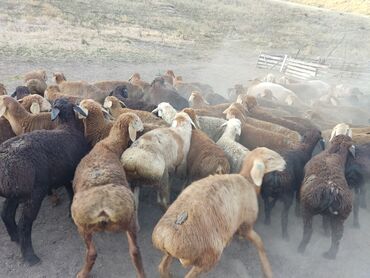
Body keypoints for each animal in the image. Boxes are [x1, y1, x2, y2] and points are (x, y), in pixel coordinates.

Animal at [0, 97, 89, 264]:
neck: (67, 127)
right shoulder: (71, 171)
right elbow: (71, 190)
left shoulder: (63, 172)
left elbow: (69, 190)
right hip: (34, 193)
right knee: (24, 224)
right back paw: (30, 256)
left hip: (17, 191)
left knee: (6, 214)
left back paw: (15, 238)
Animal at [72, 113, 146, 278]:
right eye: (137, 121)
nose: (143, 128)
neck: (109, 145)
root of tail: (104, 209)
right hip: (129, 221)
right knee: (135, 252)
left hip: (82, 226)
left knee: (92, 253)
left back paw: (81, 273)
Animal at [151, 148, 286, 278]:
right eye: (270, 158)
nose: (285, 164)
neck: (248, 181)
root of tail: (164, 238)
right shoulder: (246, 225)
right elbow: (260, 243)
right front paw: (267, 271)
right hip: (209, 255)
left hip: (173, 253)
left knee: (162, 267)